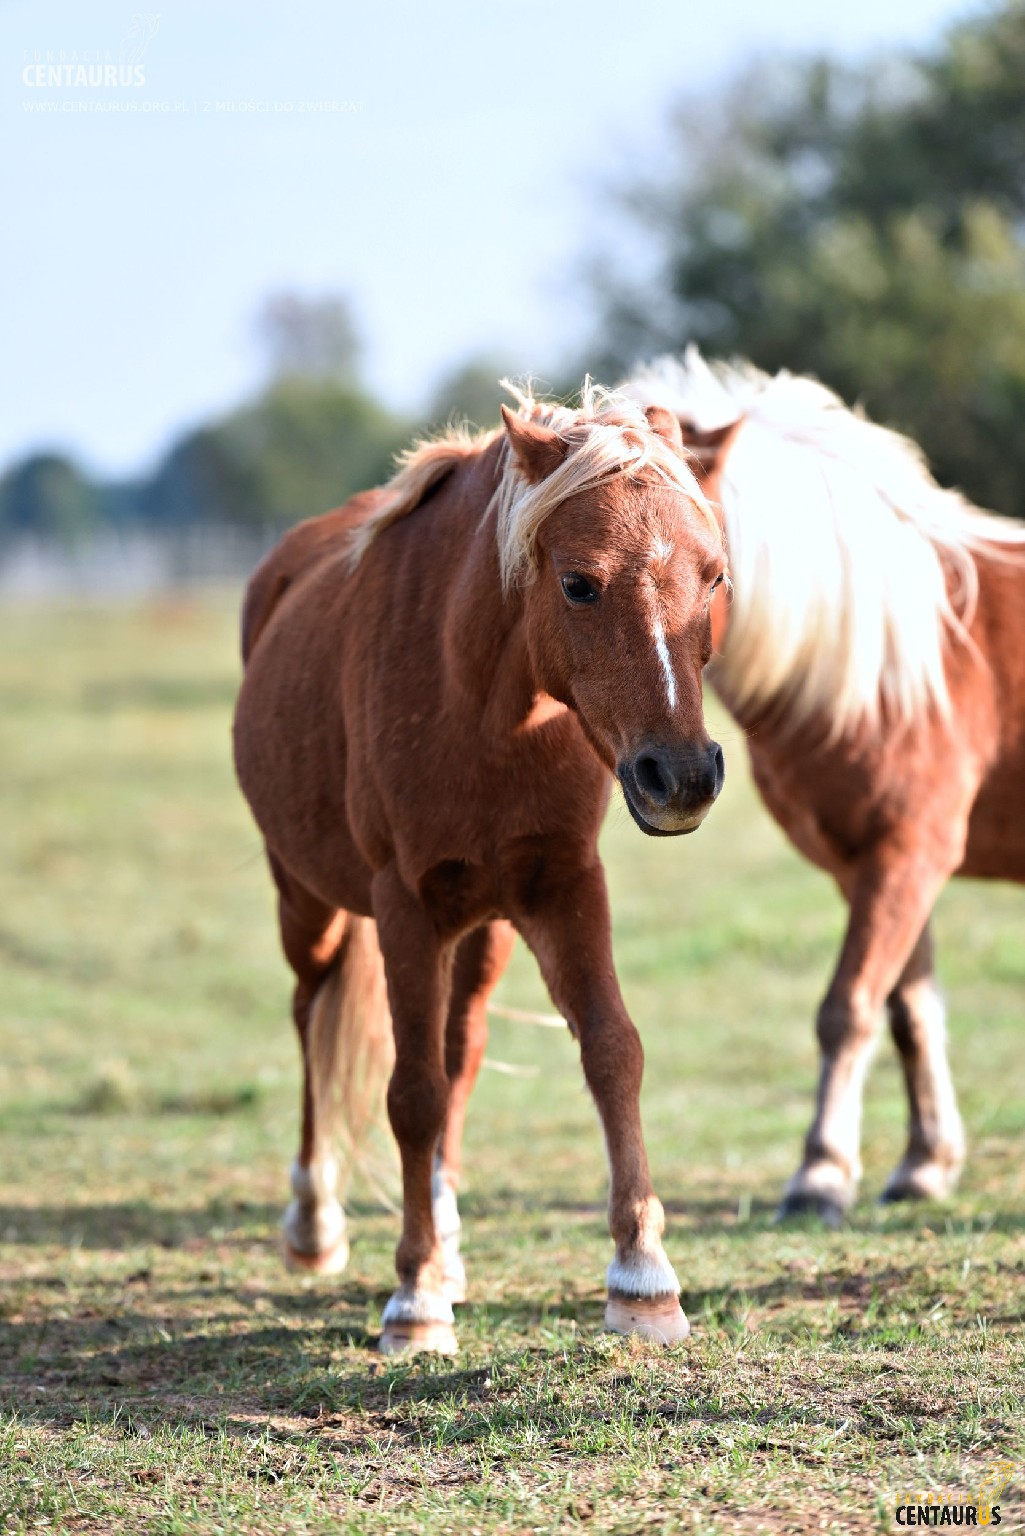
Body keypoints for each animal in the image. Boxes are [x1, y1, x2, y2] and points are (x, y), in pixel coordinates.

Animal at [232, 387, 728, 1357]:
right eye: (578, 583)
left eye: (715, 575)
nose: (682, 775)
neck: (484, 708)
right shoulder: (404, 906)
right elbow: (411, 1094)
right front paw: (414, 1299)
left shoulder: (563, 887)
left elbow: (611, 1050)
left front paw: (643, 1278)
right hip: (306, 902)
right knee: (312, 1015)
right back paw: (316, 1223)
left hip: (485, 924)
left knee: (458, 1048)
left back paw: (449, 1237)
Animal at [626, 351, 1025, 1222]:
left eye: (707, 566)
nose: (662, 774)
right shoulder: (869, 864)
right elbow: (908, 1010)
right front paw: (922, 1164)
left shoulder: (908, 854)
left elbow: (846, 1010)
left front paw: (819, 1173)